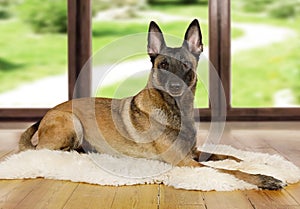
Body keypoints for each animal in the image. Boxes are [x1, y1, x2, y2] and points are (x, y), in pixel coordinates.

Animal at [18, 19, 284, 189]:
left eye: (185, 65)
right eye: (163, 65)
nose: (175, 87)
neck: (177, 111)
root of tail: (47, 114)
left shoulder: (194, 153)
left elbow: (233, 158)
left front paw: (264, 162)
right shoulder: (186, 163)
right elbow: (232, 171)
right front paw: (265, 178)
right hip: (71, 122)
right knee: (42, 151)